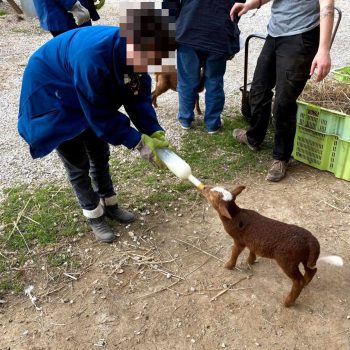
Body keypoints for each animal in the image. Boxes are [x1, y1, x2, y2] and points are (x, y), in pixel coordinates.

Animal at [201, 186, 344, 306]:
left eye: (211, 195)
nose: (205, 187)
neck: (235, 216)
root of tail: (311, 242)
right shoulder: (252, 241)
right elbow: (252, 249)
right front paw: (250, 261)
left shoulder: (239, 240)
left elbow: (235, 252)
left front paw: (228, 266)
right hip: (305, 257)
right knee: (311, 270)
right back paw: (306, 283)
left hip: (288, 260)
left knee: (298, 281)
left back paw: (287, 302)